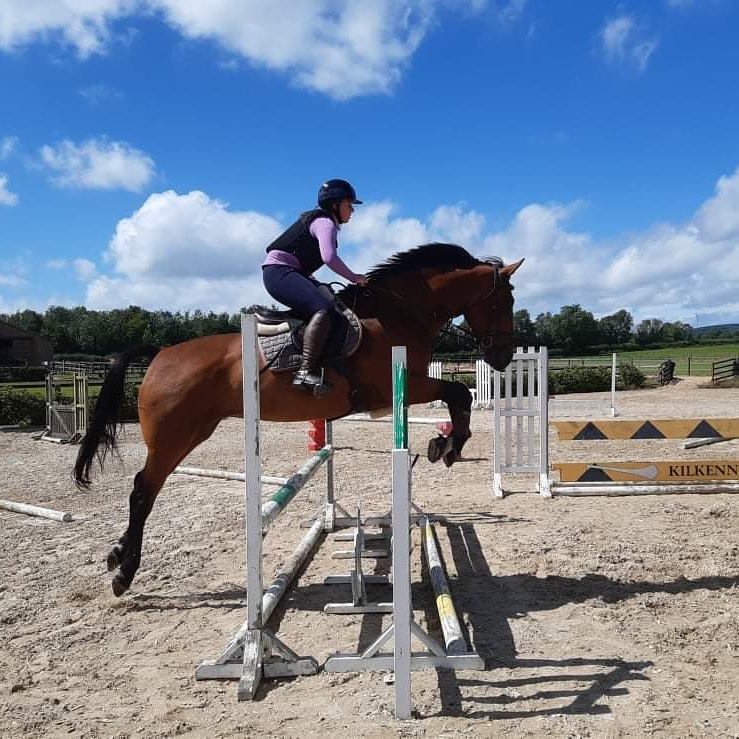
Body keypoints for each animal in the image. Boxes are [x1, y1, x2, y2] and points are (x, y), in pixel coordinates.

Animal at [74, 243, 523, 596]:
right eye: (505, 301)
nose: (502, 357)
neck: (400, 312)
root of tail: (161, 353)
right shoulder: (401, 386)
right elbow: (458, 392)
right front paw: (446, 446)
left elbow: (458, 395)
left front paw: (443, 445)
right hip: (174, 439)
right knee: (142, 492)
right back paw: (125, 572)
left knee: (143, 490)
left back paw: (117, 555)